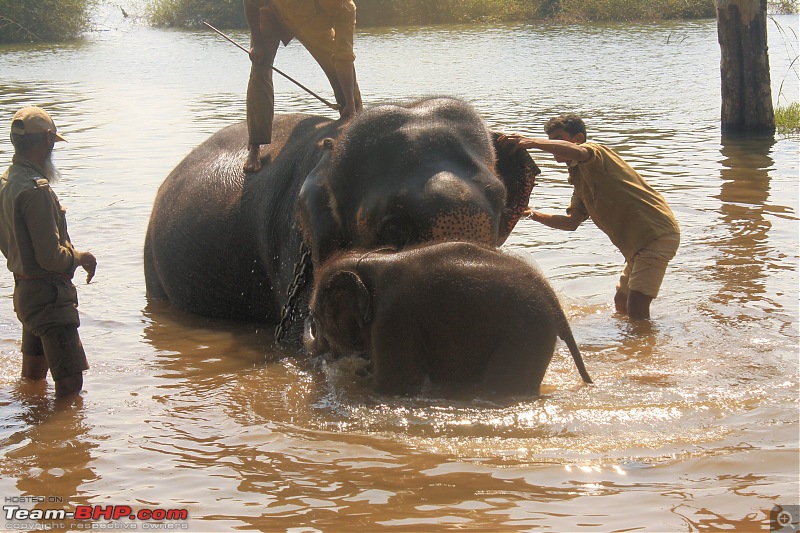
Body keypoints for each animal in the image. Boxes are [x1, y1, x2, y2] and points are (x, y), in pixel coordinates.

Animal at [304, 241, 592, 394]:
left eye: (316, 318)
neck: (373, 262)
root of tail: (553, 301)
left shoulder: (393, 321)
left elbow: (395, 386)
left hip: (525, 334)